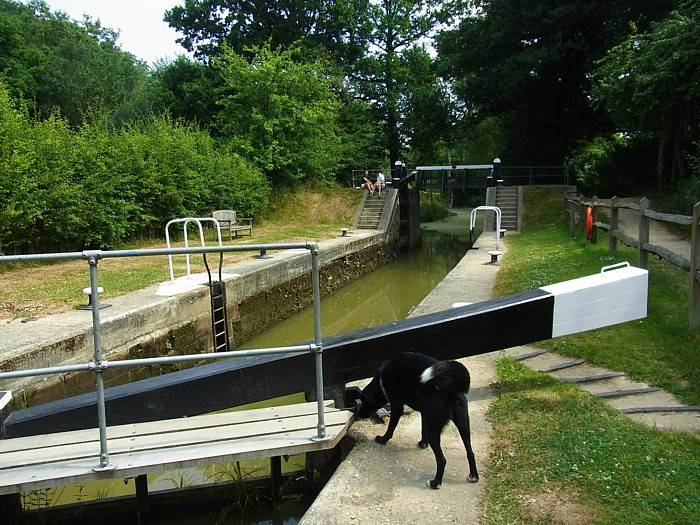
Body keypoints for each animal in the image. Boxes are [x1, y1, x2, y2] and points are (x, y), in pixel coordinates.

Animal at [358, 350, 478, 490]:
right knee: (470, 452)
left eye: (364, 401)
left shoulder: (397, 407)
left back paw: (435, 483)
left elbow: (391, 428)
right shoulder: (424, 413)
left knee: (442, 460)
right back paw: (473, 476)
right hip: (463, 424)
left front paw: (382, 439)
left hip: (434, 429)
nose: (358, 414)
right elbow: (422, 429)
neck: (382, 380)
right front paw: (423, 443)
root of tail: (452, 388)